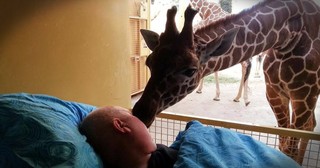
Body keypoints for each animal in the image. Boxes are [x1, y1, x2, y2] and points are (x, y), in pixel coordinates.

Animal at [134, 0, 320, 165]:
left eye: (190, 70)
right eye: (149, 62)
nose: (141, 114)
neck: (287, 37)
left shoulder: (303, 95)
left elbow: (289, 148)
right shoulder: (274, 93)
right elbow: (283, 143)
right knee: (311, 125)